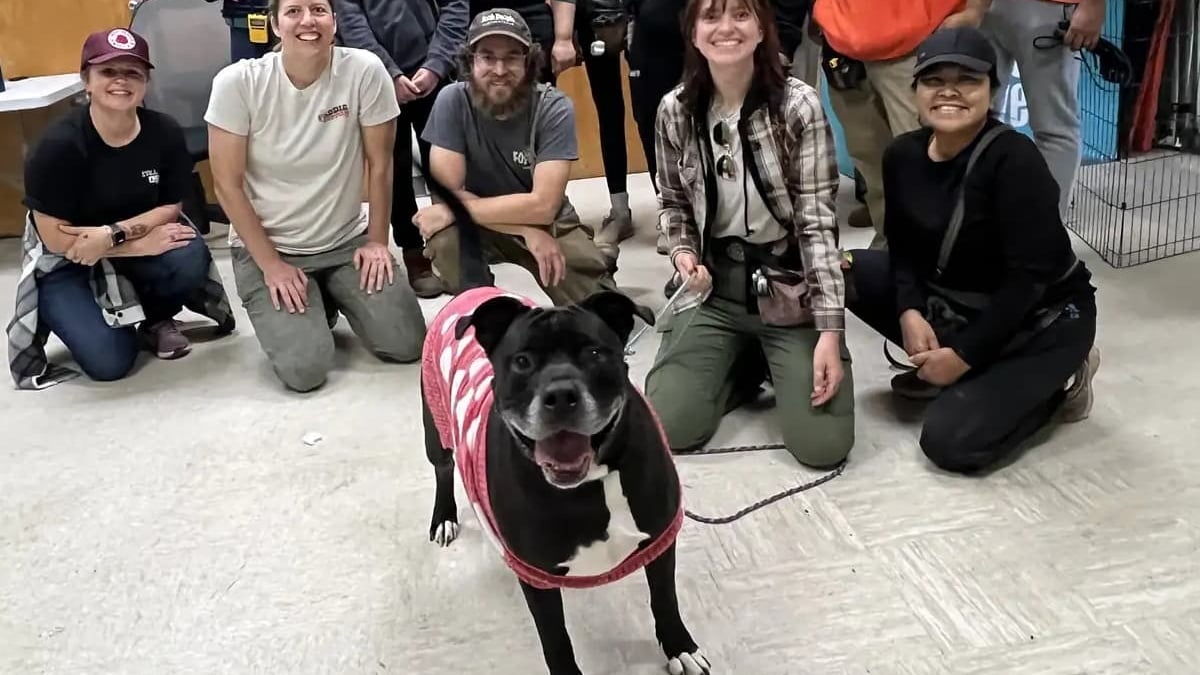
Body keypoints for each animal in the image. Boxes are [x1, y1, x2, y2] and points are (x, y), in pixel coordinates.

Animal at [417, 164, 705, 672]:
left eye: (594, 353)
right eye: (522, 362)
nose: (561, 395)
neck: (591, 482)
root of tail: (474, 289)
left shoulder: (659, 538)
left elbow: (664, 599)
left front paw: (679, 646)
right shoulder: (536, 577)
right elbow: (556, 640)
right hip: (436, 426)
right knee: (443, 468)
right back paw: (445, 516)